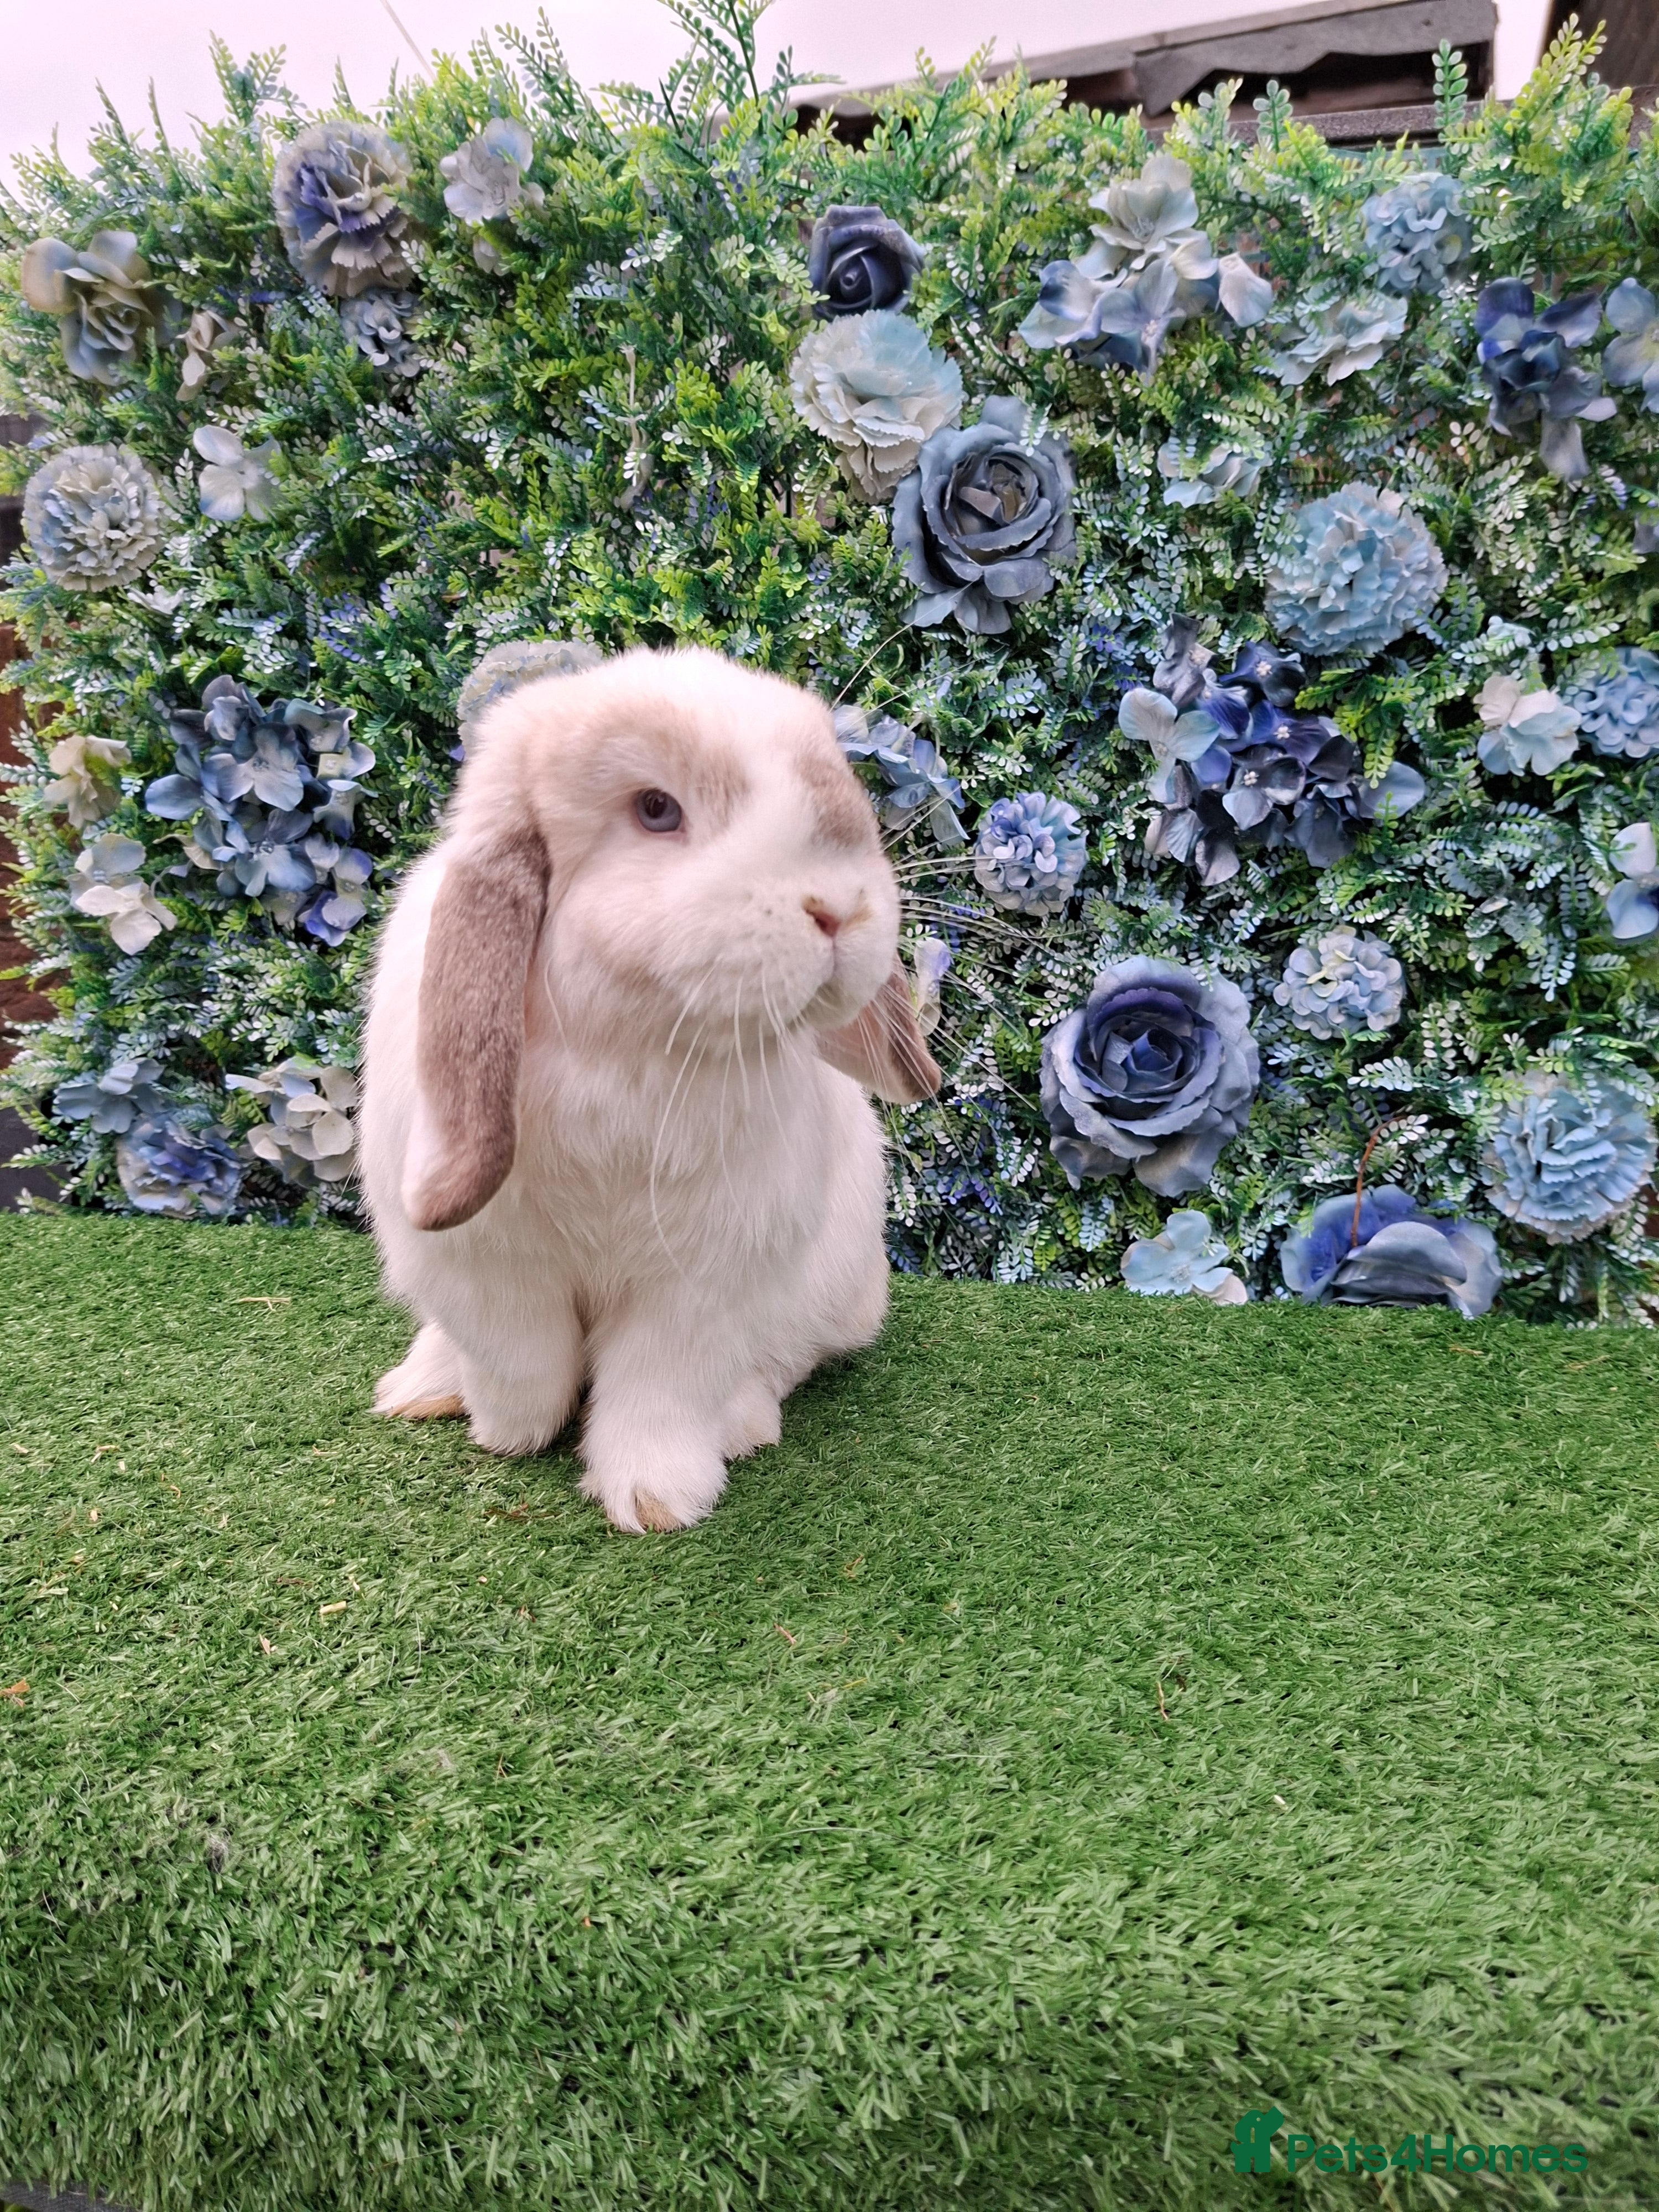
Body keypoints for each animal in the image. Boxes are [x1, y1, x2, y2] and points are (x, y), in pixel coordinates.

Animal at [359, 645, 941, 1533]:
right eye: (657, 810)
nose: (842, 908)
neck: (632, 1051)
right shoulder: (483, 1272)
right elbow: (520, 1365)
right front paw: (509, 1435)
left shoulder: (702, 1287)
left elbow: (658, 1391)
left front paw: (656, 1499)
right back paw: (422, 1387)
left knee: (779, 1362)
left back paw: (744, 1421)